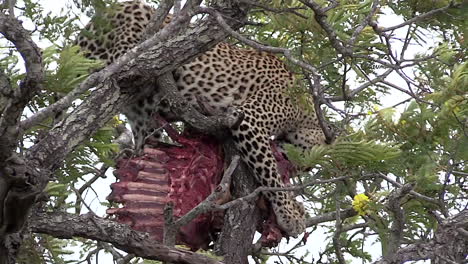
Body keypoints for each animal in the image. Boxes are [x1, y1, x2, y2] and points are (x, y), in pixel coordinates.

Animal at [76, 0, 326, 235]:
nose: (299, 168)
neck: (308, 113)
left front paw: (293, 208)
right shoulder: (250, 119)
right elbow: (270, 173)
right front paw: (288, 214)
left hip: (141, 117)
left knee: (144, 139)